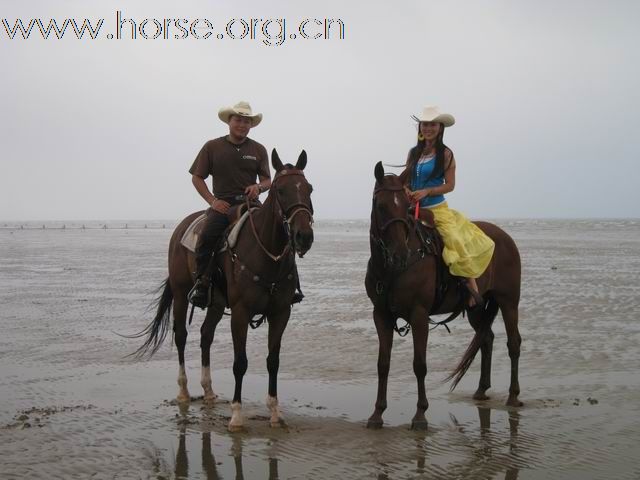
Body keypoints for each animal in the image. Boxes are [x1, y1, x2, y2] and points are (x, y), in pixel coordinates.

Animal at [136, 149, 316, 432]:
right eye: (280, 190)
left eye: (309, 188)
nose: (303, 236)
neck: (266, 253)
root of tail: (182, 227)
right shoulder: (241, 313)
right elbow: (240, 363)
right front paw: (237, 416)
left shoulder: (281, 313)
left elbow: (273, 361)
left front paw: (275, 413)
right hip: (181, 293)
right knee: (181, 335)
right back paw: (184, 391)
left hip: (218, 304)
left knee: (205, 335)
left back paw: (208, 391)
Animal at [362, 163, 524, 430]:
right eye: (381, 206)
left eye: (406, 206)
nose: (400, 254)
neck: (393, 269)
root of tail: (505, 238)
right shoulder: (381, 315)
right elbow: (382, 364)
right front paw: (377, 413)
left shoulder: (419, 316)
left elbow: (419, 365)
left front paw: (420, 415)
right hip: (476, 308)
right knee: (486, 338)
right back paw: (481, 390)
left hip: (509, 302)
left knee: (514, 343)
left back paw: (513, 395)